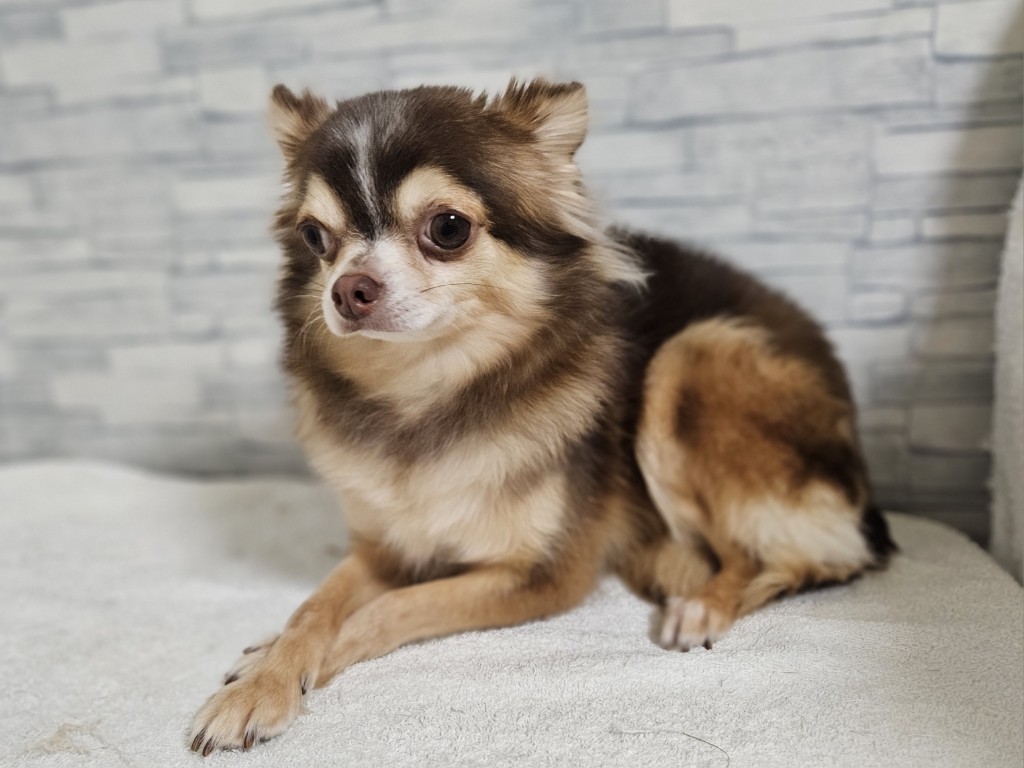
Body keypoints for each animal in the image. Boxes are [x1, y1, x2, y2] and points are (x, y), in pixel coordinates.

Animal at [189, 78, 896, 755]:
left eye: (448, 228)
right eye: (315, 237)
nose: (347, 289)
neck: (425, 390)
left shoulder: (543, 575)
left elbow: (383, 613)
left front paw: (283, 674)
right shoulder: (387, 547)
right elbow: (314, 609)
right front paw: (264, 675)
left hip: (694, 355)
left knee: (787, 558)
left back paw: (700, 607)